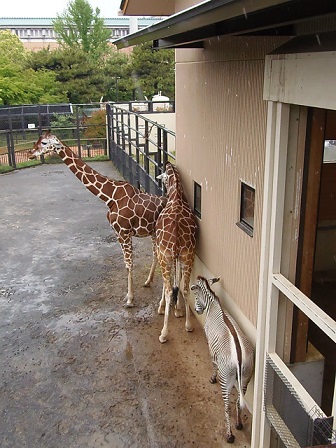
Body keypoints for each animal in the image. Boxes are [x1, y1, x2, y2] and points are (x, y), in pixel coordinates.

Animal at [28, 131, 167, 308]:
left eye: (44, 142)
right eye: (38, 140)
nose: (30, 153)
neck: (109, 197)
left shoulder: (124, 233)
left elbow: (129, 264)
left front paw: (130, 299)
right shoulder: (118, 234)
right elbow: (128, 263)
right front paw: (130, 295)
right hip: (153, 233)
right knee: (156, 255)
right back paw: (148, 281)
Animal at [190, 274, 253, 442]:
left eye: (195, 296)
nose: (197, 311)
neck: (214, 306)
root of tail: (239, 358)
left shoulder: (211, 345)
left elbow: (213, 364)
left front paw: (212, 378)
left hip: (226, 379)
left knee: (227, 406)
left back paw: (229, 435)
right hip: (246, 377)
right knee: (238, 402)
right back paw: (238, 424)